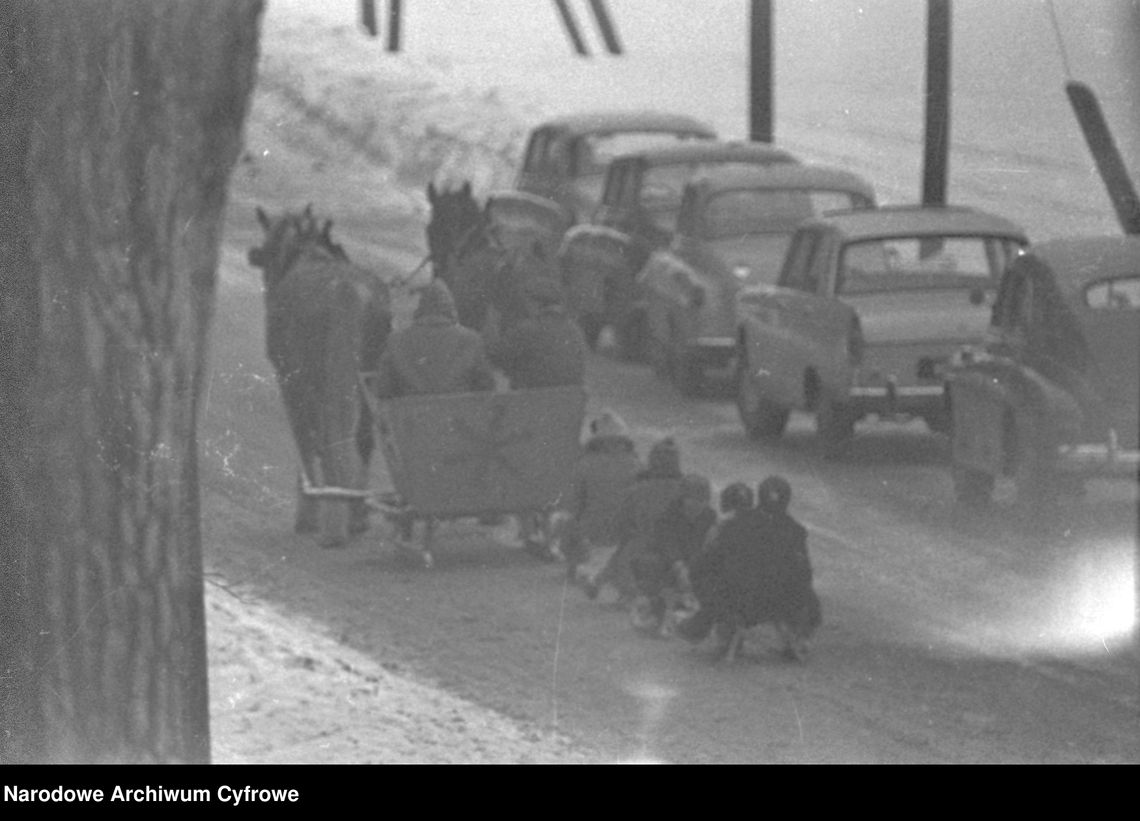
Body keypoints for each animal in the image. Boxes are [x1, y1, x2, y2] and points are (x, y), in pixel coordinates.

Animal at [248, 204, 392, 547]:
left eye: (268, 253)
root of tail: (348, 295)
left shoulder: (290, 379)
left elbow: (305, 439)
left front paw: (307, 514)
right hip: (369, 376)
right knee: (363, 438)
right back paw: (355, 515)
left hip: (317, 375)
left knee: (325, 437)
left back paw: (333, 519)